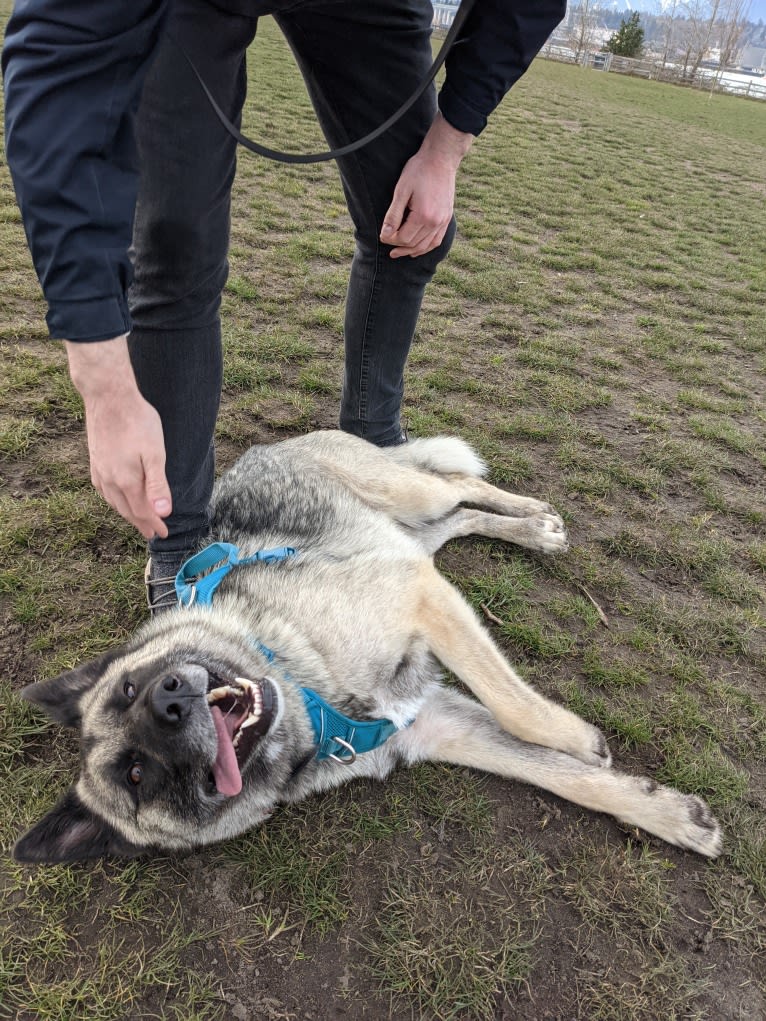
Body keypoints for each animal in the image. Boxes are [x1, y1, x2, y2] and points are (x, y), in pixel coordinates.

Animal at [13, 428, 727, 861]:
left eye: (131, 686)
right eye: (138, 774)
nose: (169, 701)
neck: (308, 699)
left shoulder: (418, 595)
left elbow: (519, 710)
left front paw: (577, 739)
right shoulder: (434, 722)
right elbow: (554, 775)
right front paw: (668, 816)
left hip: (402, 494)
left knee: (461, 486)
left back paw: (536, 519)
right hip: (408, 534)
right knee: (456, 520)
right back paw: (527, 530)